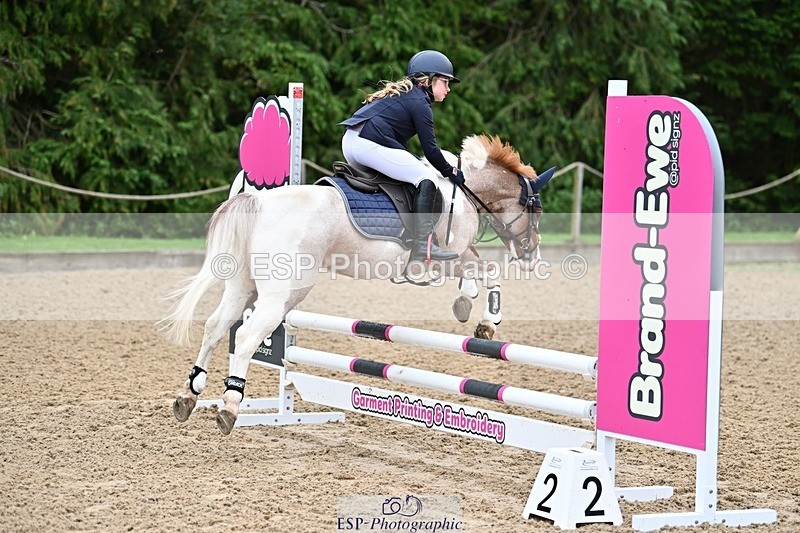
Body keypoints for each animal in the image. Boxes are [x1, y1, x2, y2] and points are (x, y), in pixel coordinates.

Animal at [159, 133, 552, 435]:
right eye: (536, 209)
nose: (531, 256)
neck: (464, 190)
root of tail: (257, 199)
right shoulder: (448, 255)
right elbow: (488, 272)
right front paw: (484, 321)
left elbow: (478, 272)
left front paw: (464, 303)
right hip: (282, 294)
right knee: (244, 337)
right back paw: (229, 405)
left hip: (245, 287)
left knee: (215, 327)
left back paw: (189, 395)